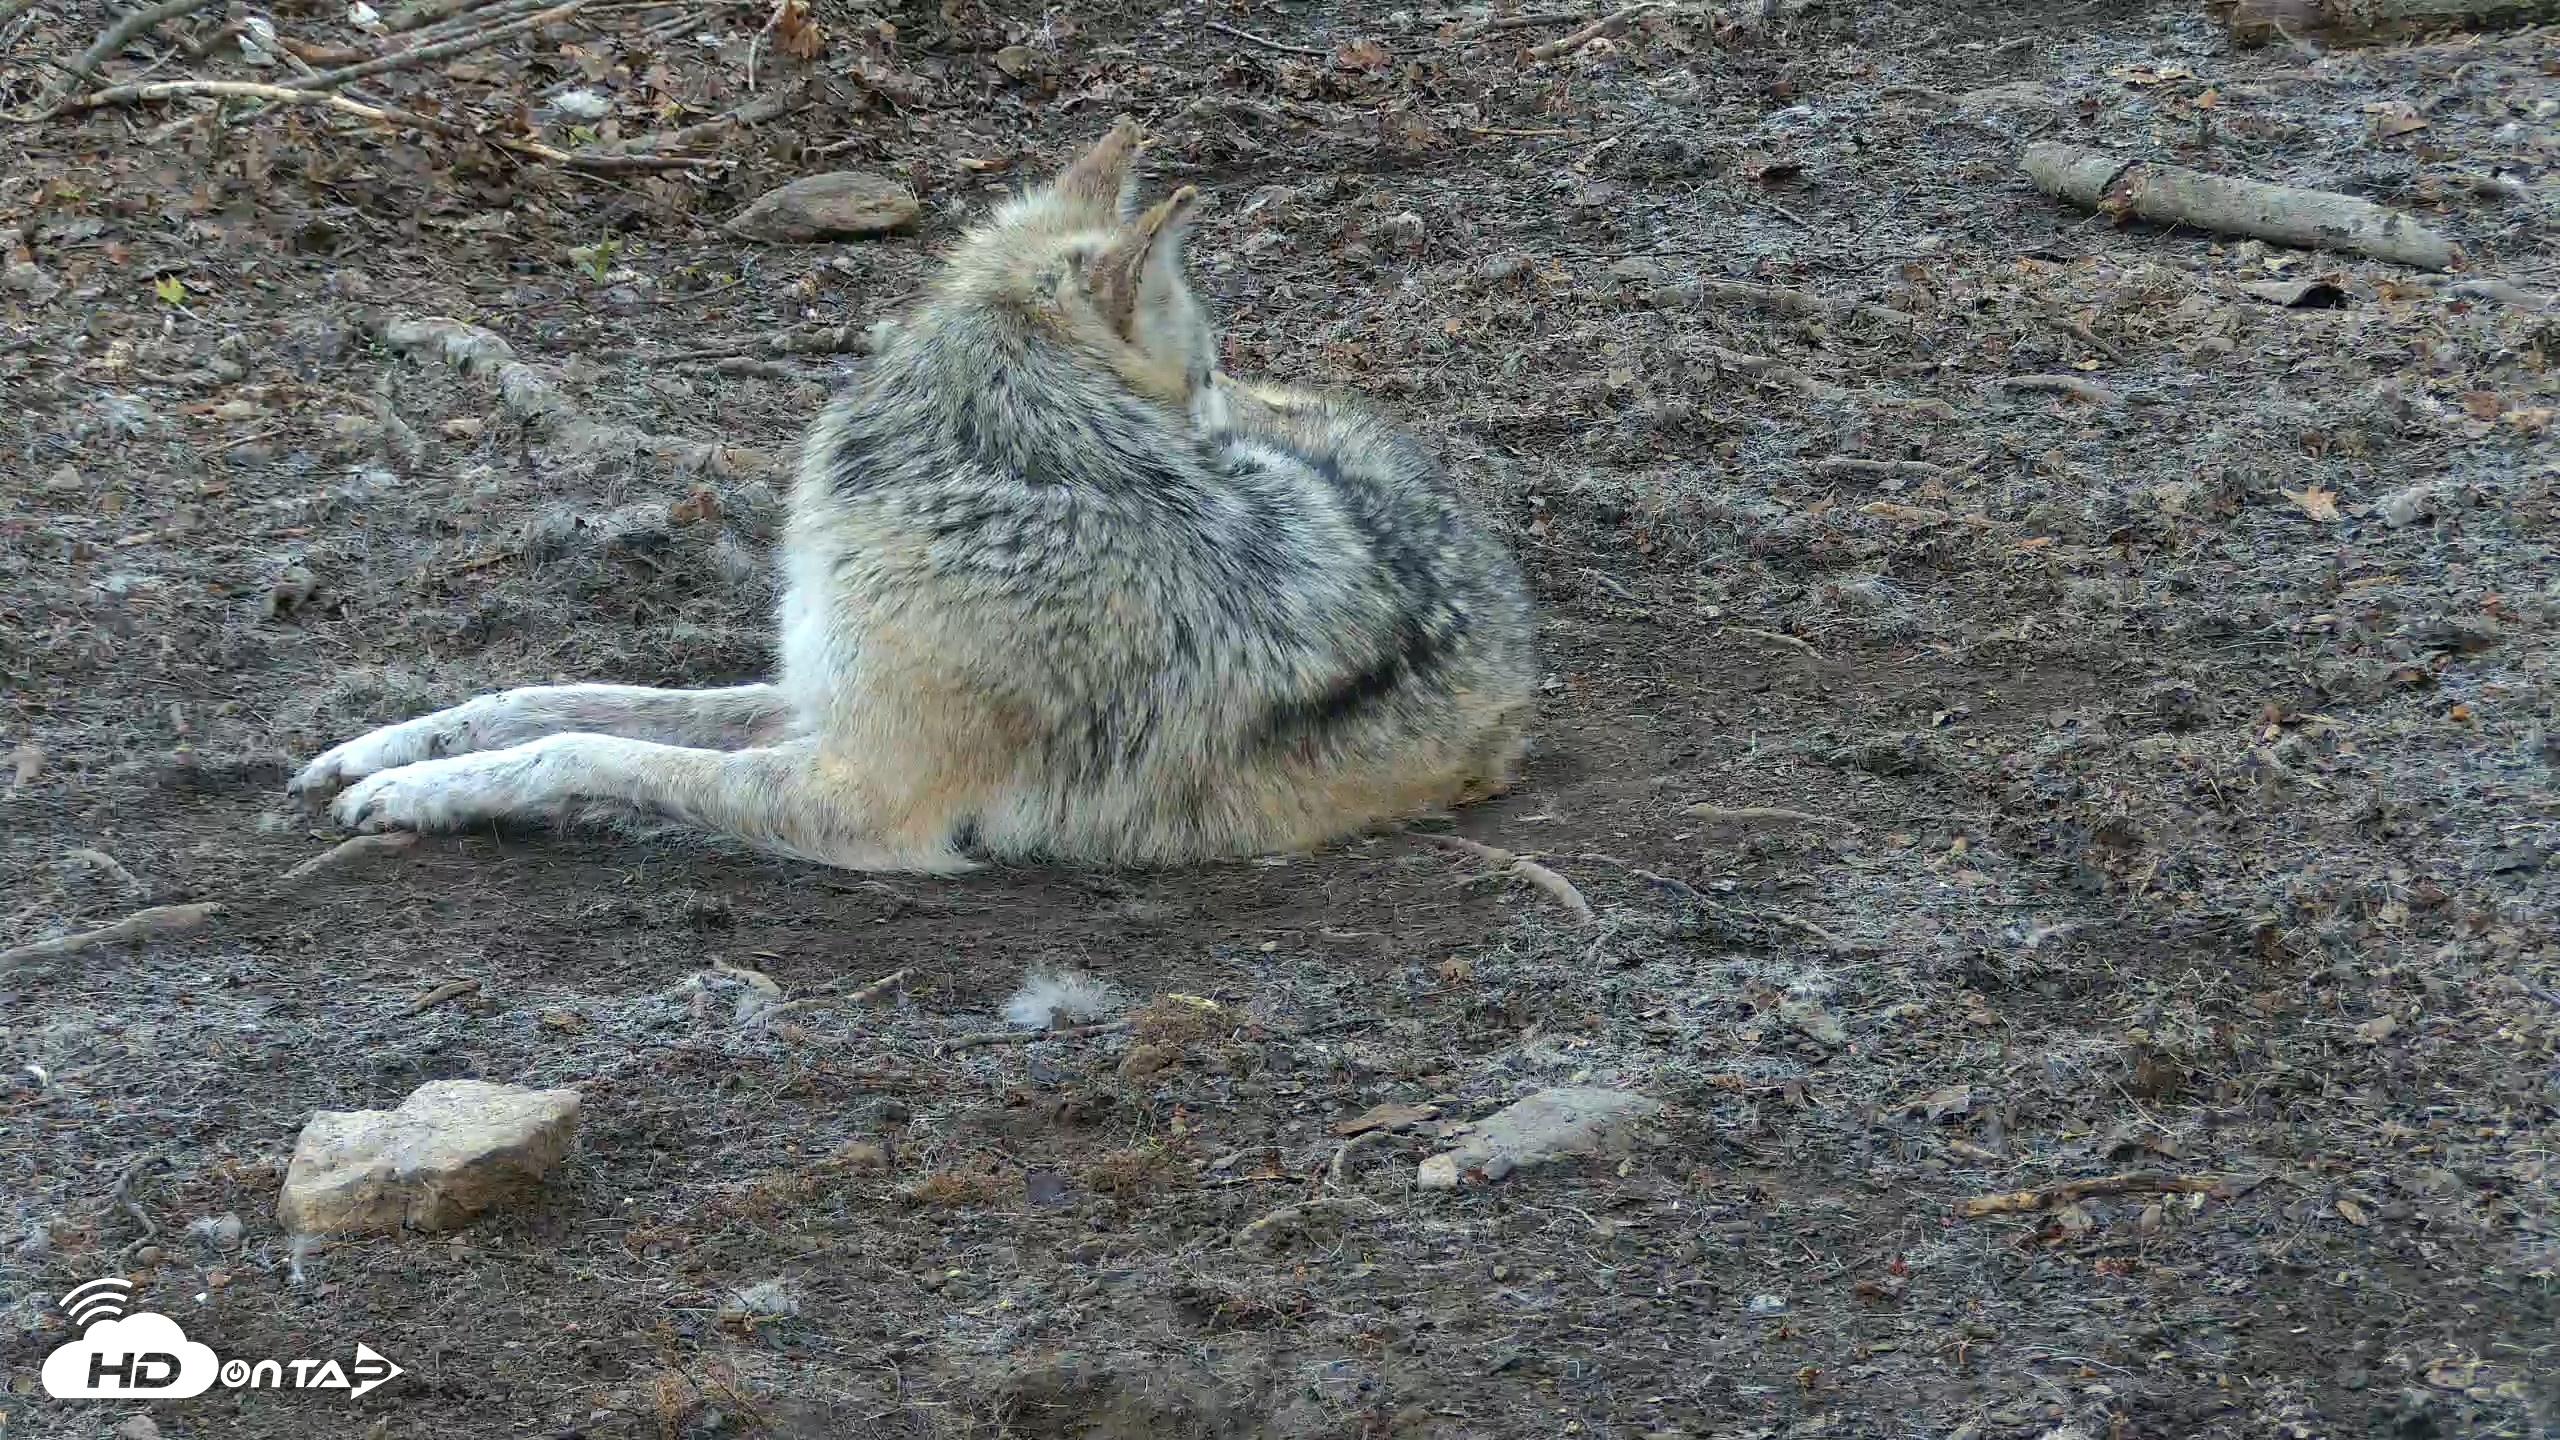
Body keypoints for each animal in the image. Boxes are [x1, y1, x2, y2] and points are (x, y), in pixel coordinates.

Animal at [288, 118, 1539, 874]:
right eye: (1204, 373)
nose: (1225, 420)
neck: (1014, 470)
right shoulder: (815, 695)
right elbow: (565, 695)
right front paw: (386, 751)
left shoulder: (863, 794)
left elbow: (586, 752)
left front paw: (422, 790)